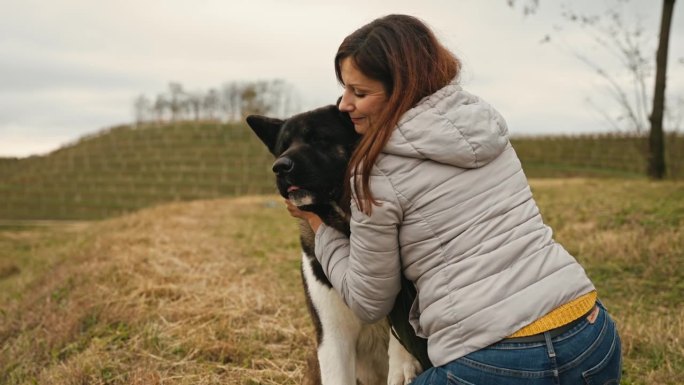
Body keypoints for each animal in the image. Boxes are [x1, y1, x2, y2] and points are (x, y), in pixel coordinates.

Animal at [248, 105, 424, 384]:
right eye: (282, 148)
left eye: (318, 138)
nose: (280, 166)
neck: (348, 226)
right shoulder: (332, 337)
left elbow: (403, 330)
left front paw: (402, 365)